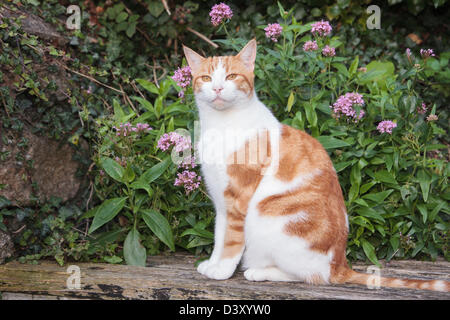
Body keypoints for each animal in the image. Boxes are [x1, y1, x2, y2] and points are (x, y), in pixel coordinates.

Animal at [183, 38, 450, 292]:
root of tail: (339, 264)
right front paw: (213, 263)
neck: (221, 125)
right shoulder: (221, 200)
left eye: (231, 77)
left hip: (270, 218)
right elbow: (219, 237)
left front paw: (223, 270)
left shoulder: (238, 198)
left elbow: (231, 240)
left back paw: (260, 272)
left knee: (312, 276)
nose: (217, 88)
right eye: (206, 78)